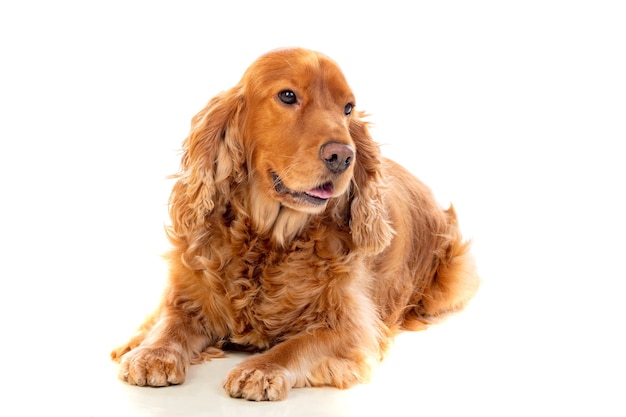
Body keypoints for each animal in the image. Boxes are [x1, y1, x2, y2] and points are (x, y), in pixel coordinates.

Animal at [109, 46, 478, 400]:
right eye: (287, 96)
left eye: (347, 108)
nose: (342, 156)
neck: (267, 240)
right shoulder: (188, 294)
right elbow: (170, 322)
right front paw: (152, 352)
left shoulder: (352, 327)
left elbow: (297, 345)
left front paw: (260, 369)